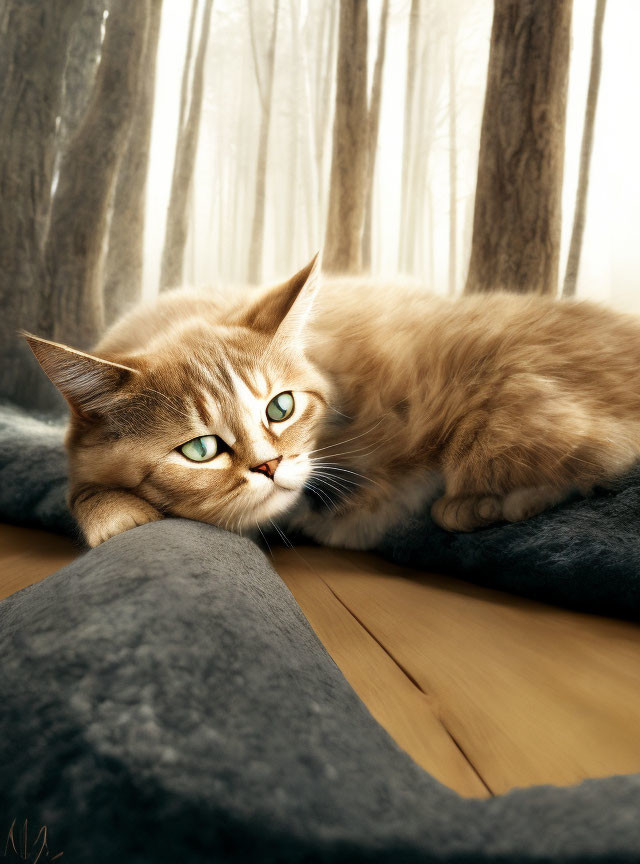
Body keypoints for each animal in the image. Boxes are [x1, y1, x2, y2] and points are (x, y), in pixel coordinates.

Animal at [25, 256, 640, 552]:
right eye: (200, 449)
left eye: (280, 408)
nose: (270, 465)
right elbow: (85, 489)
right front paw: (115, 513)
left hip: (499, 410)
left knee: (591, 455)